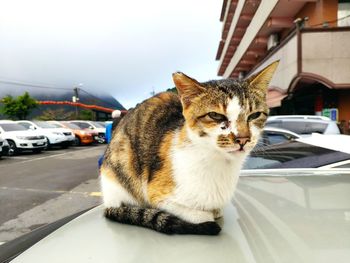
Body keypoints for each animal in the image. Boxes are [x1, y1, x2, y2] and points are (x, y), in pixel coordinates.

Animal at [100, 61, 278, 235]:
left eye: (254, 115)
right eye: (216, 115)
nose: (243, 138)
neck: (220, 162)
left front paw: (216, 210)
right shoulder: (157, 195)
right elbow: (198, 214)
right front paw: (208, 216)